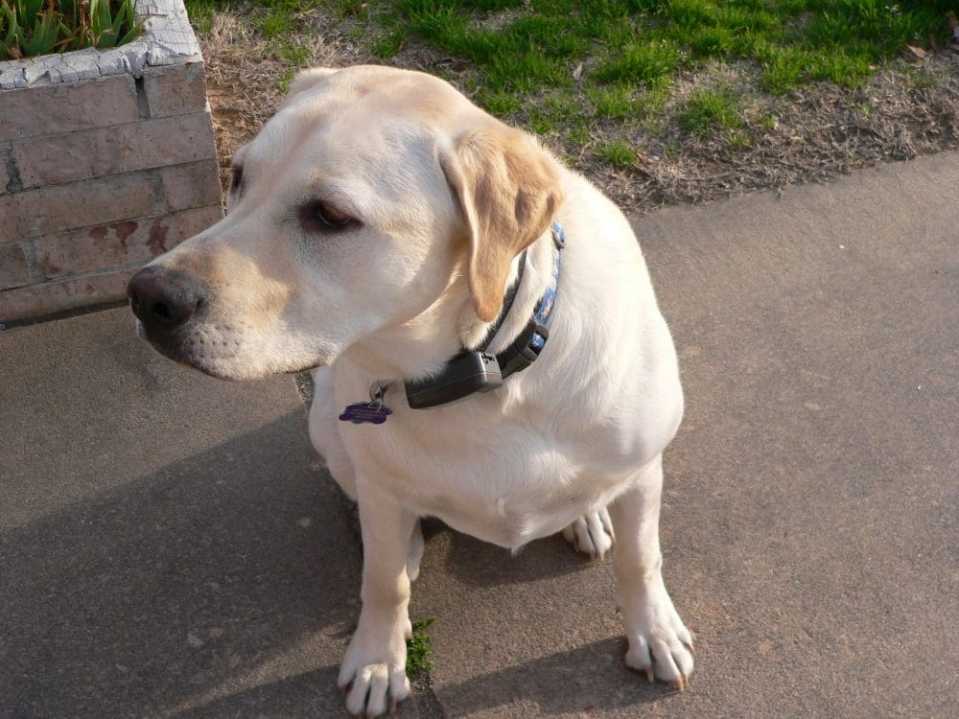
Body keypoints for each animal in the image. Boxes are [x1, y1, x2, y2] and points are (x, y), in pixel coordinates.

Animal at [128, 64, 693, 717]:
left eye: (329, 215)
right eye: (238, 176)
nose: (147, 296)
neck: (485, 371)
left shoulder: (645, 468)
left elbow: (641, 558)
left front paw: (654, 631)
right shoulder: (380, 485)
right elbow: (383, 580)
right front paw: (379, 657)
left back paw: (589, 517)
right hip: (327, 428)